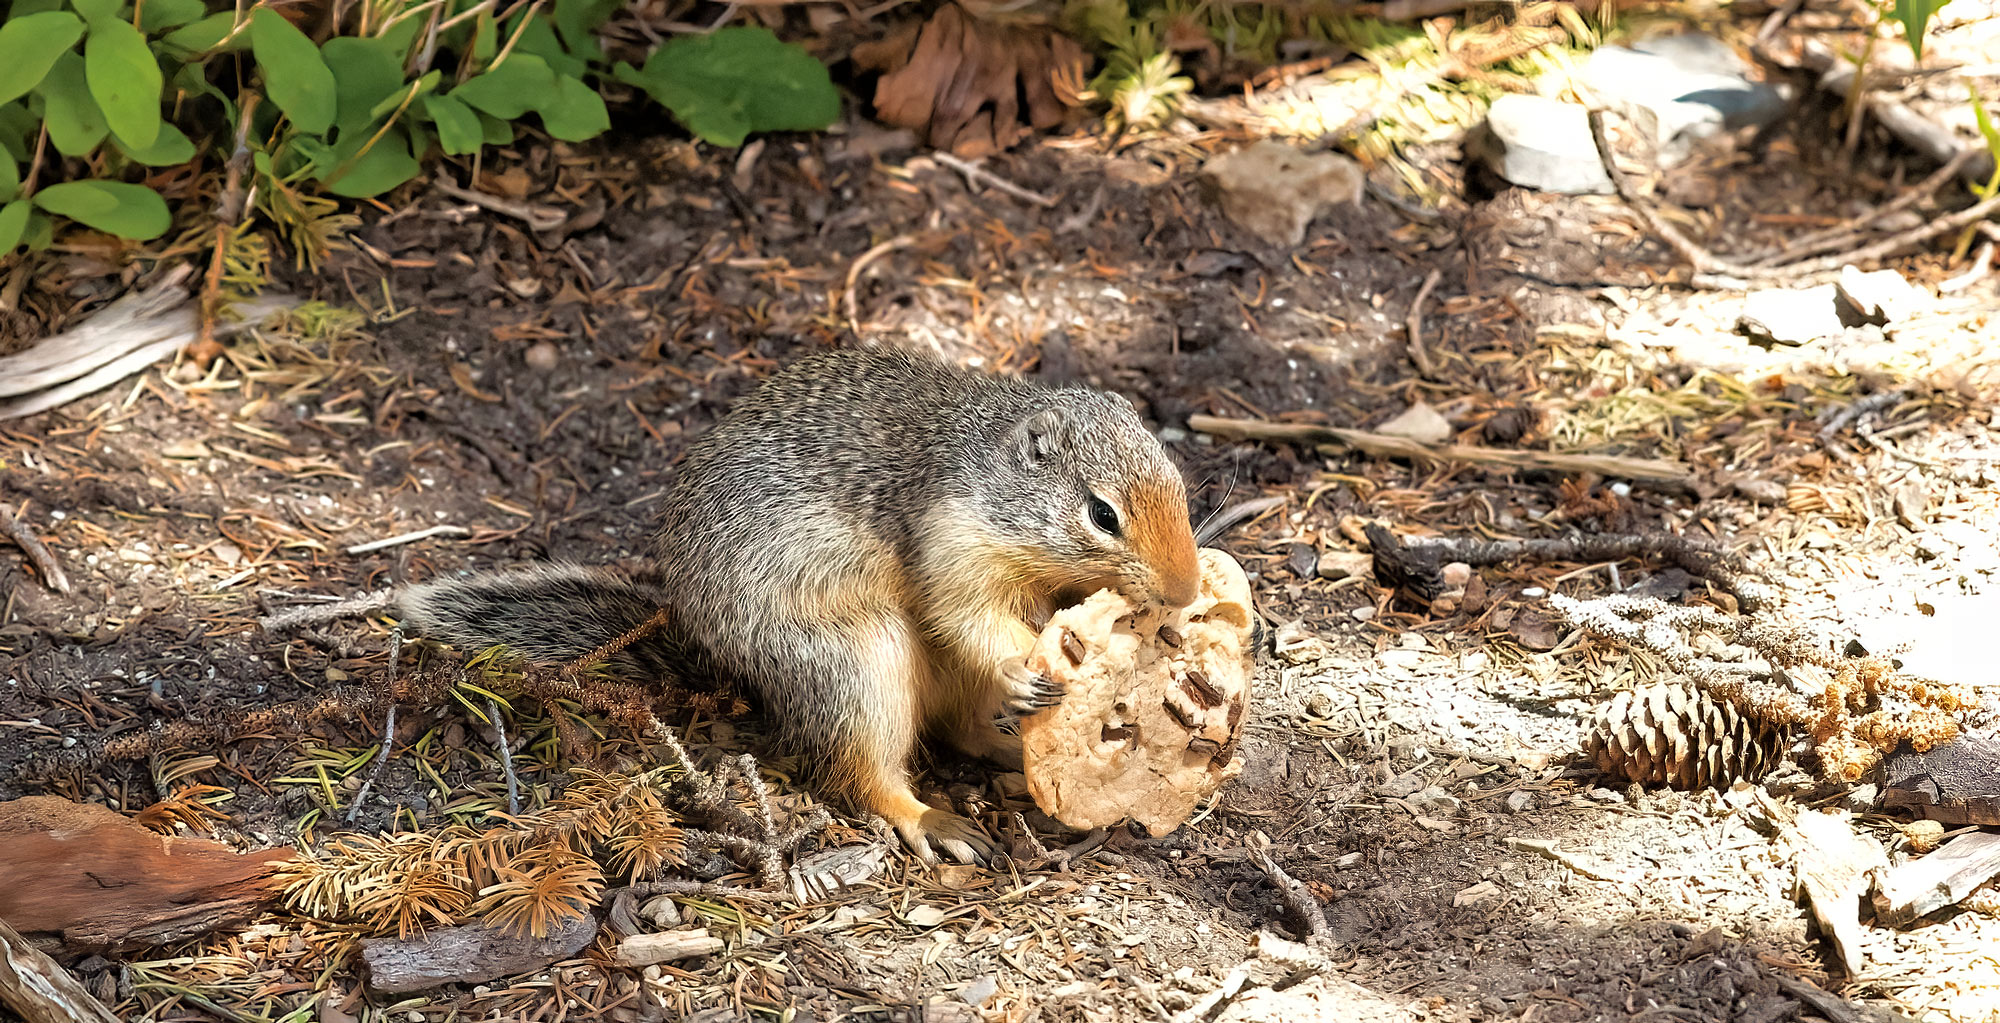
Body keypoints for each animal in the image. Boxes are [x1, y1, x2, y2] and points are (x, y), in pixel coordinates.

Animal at [398, 349, 1192, 863]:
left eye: (1179, 481)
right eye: (1102, 514)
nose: (1184, 591)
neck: (987, 478)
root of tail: (737, 674)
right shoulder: (950, 548)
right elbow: (963, 617)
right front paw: (1024, 665)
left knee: (956, 729)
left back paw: (1007, 751)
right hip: (858, 664)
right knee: (863, 771)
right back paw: (931, 817)